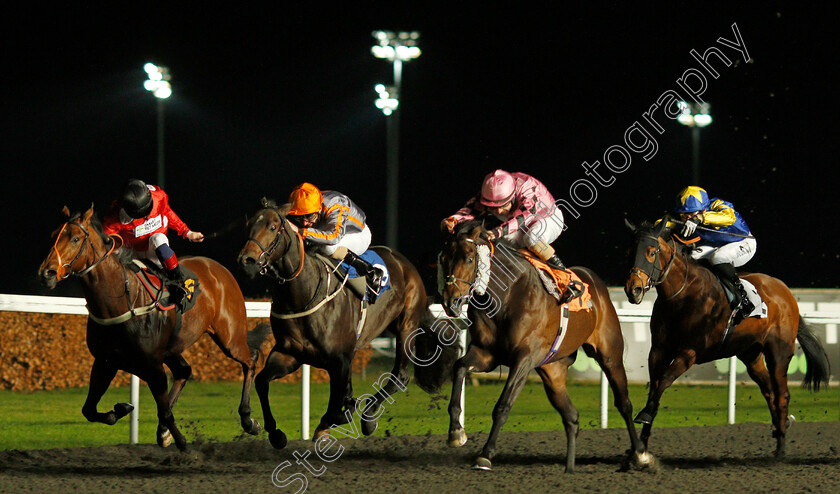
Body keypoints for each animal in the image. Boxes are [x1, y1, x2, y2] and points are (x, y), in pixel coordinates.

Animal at [37, 206, 262, 452]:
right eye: (53, 235)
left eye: (76, 239)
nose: (46, 273)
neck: (120, 299)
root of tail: (218, 268)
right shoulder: (107, 362)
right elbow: (89, 410)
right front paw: (122, 409)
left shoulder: (152, 364)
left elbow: (164, 412)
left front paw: (183, 443)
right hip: (173, 346)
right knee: (184, 371)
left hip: (230, 336)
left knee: (250, 359)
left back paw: (248, 420)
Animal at [238, 199, 430, 450]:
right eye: (248, 225)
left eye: (272, 227)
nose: (246, 261)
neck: (304, 293)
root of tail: (402, 261)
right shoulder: (290, 354)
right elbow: (262, 382)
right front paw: (270, 431)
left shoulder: (339, 360)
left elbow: (337, 405)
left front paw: (331, 422)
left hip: (406, 326)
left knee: (400, 375)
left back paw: (369, 417)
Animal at [434, 222, 648, 472]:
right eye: (443, 258)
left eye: (469, 259)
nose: (449, 301)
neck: (506, 294)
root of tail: (597, 284)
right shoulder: (486, 353)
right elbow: (459, 367)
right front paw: (456, 433)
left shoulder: (524, 358)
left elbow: (503, 405)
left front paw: (485, 454)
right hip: (552, 371)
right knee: (571, 417)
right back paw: (569, 469)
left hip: (609, 354)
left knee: (624, 404)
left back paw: (641, 454)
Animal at [624, 218, 828, 458]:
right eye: (630, 251)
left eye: (652, 252)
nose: (633, 290)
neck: (682, 296)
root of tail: (786, 293)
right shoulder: (658, 350)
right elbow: (655, 388)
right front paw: (641, 448)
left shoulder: (689, 352)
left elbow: (664, 381)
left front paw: (644, 418)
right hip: (751, 355)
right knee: (769, 392)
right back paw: (781, 427)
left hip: (779, 353)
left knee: (781, 395)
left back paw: (780, 450)